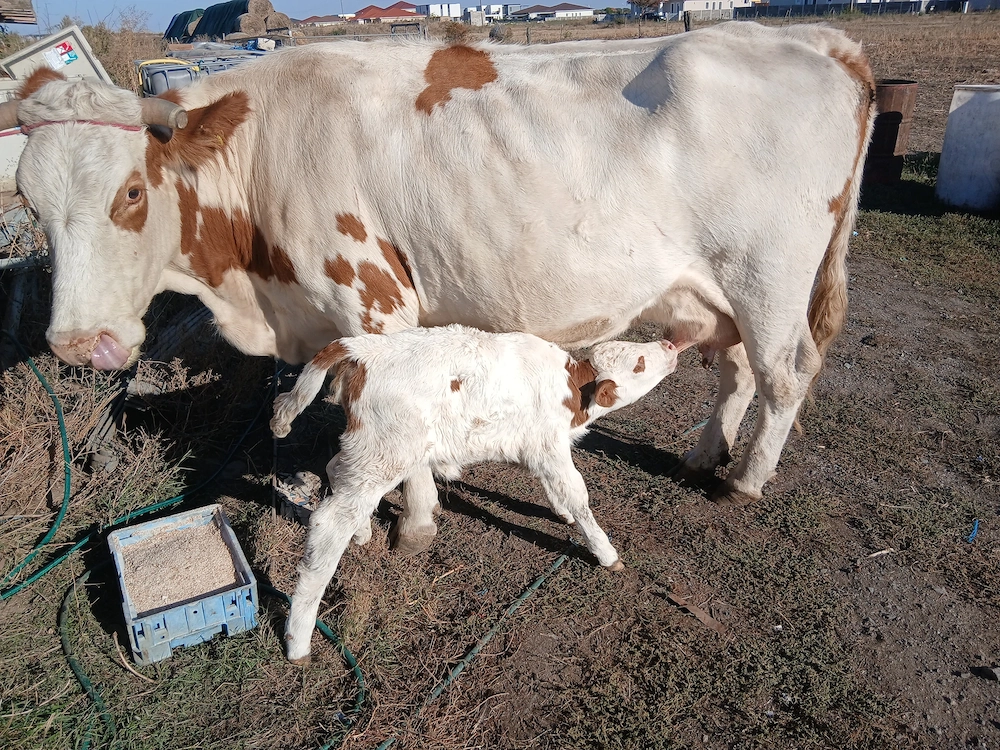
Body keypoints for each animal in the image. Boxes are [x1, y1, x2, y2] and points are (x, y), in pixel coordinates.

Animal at [3, 23, 875, 546]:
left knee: (785, 372)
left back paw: (745, 481)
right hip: (715, 290)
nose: (78, 344)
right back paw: (702, 453)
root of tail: (808, 38)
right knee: (734, 369)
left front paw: (416, 520)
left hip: (768, 277)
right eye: (30, 202)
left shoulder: (375, 304)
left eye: (131, 193)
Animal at [270, 324, 680, 662]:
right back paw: (298, 642)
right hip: (386, 455)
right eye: (639, 364)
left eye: (635, 349)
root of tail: (362, 347)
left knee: (335, 471)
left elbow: (558, 491)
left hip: (368, 453)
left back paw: (362, 531)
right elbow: (577, 495)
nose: (670, 343)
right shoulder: (549, 446)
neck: (570, 392)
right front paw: (606, 553)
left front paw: (562, 515)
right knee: (328, 524)